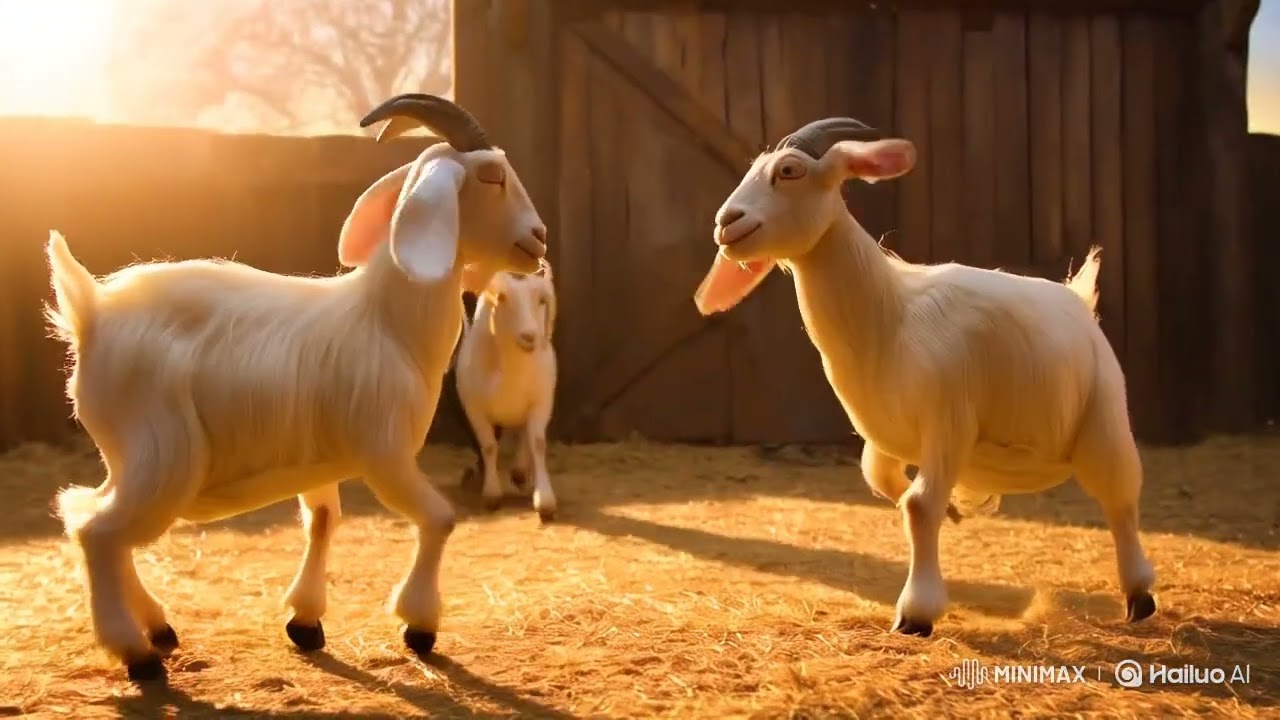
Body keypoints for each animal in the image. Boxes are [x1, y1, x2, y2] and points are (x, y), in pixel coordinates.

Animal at [44, 94, 548, 682]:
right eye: (491, 176)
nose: (538, 238)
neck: (387, 323)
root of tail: (91, 313)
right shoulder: (384, 451)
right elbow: (440, 518)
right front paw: (419, 626)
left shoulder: (321, 459)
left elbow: (323, 522)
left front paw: (305, 621)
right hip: (163, 453)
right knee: (98, 530)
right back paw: (137, 652)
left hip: (133, 458)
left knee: (86, 511)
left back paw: (158, 627)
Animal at [454, 264, 559, 522]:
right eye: (501, 298)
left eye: (541, 300)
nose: (529, 336)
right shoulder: (475, 409)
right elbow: (489, 447)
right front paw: (491, 493)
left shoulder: (541, 403)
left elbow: (537, 443)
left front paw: (544, 499)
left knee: (523, 438)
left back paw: (520, 472)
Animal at [693, 117, 1156, 637]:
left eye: (789, 170)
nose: (726, 222)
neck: (889, 315)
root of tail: (1078, 298)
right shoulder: (890, 433)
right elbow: (884, 482)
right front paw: (955, 511)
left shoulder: (949, 421)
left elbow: (918, 506)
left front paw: (916, 613)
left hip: (1104, 414)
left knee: (1120, 497)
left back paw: (1139, 595)